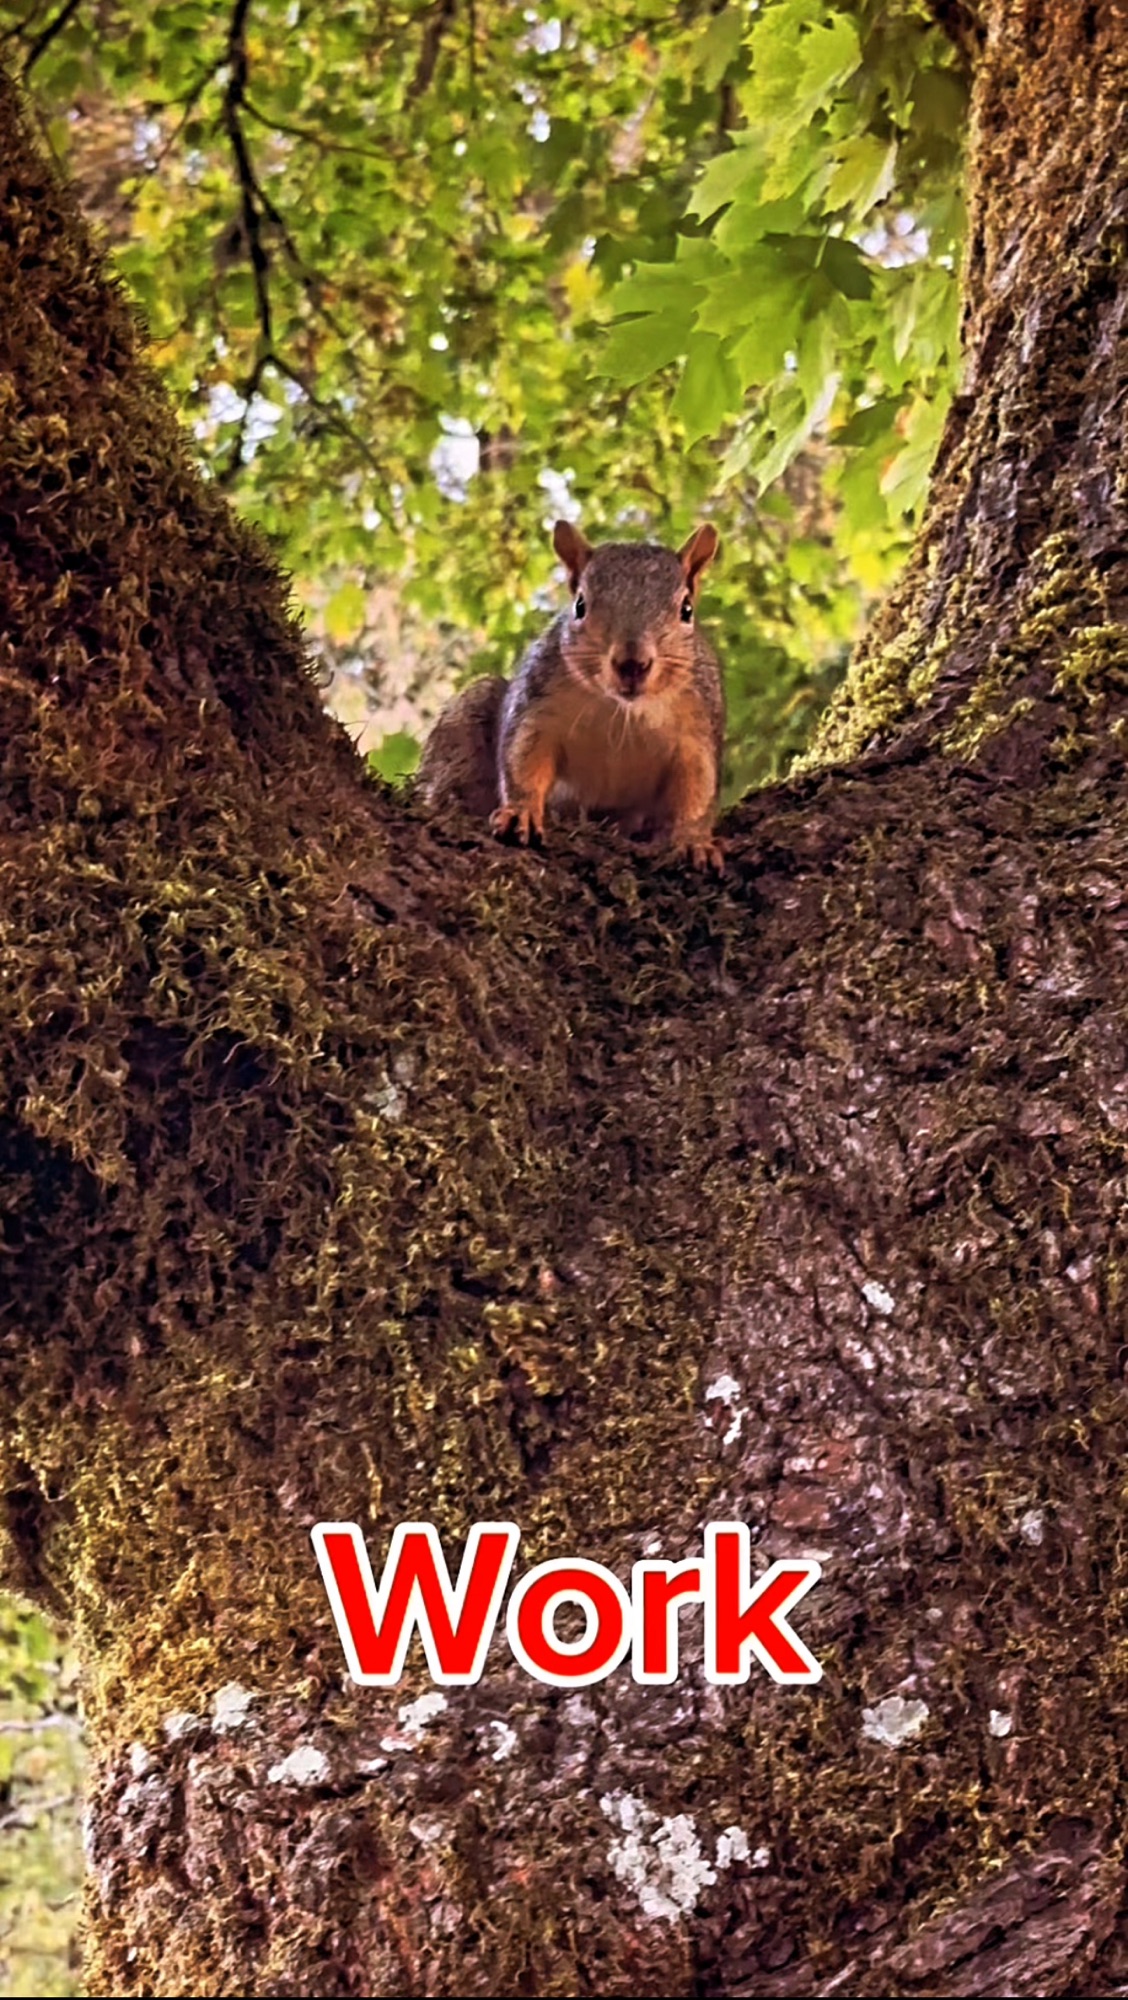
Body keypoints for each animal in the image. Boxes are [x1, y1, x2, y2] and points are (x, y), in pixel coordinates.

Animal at [417, 521, 726, 871]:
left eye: (687, 609)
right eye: (580, 605)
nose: (632, 664)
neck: (622, 711)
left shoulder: (698, 727)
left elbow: (697, 790)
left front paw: (694, 840)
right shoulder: (538, 704)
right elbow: (524, 759)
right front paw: (521, 812)